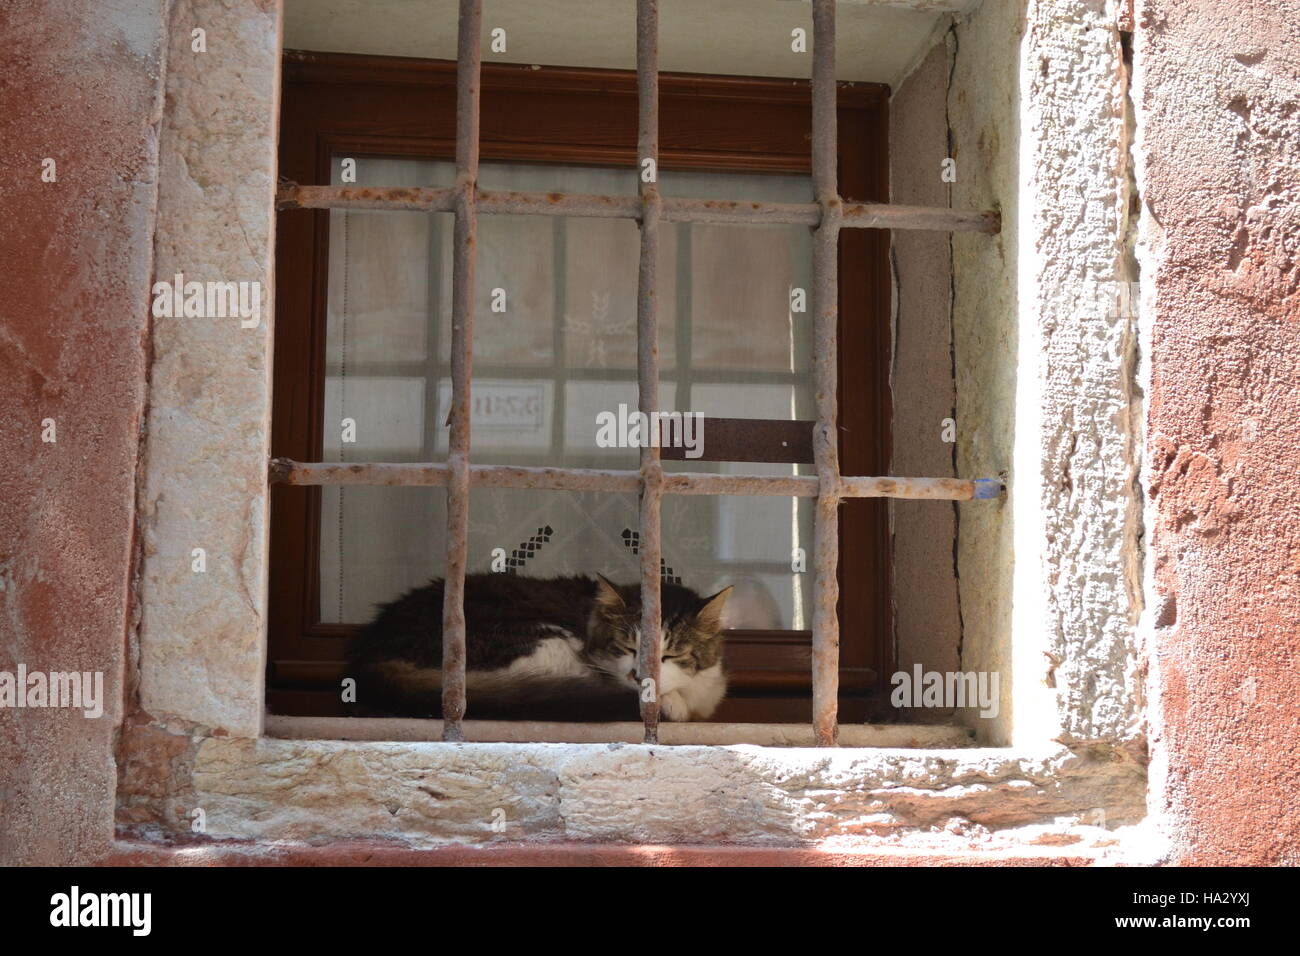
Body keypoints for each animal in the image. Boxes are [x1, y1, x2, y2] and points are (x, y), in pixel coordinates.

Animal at [345, 572, 733, 723]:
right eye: (625, 646)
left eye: (670, 655)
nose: (639, 676)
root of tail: (369, 655)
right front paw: (670, 703)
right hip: (541, 641)